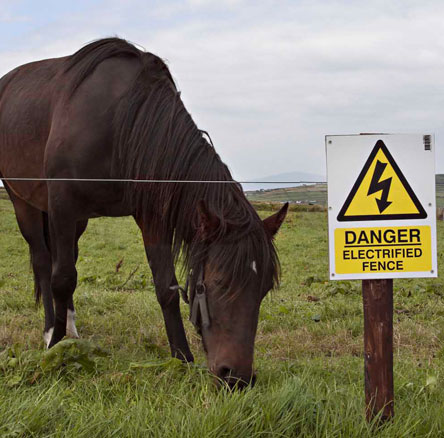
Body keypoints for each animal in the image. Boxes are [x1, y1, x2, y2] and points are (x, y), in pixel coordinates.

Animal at [0, 36, 288, 386]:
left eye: (264, 289)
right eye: (217, 284)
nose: (237, 378)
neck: (119, 123)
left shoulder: (152, 217)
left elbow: (166, 287)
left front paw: (182, 357)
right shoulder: (61, 206)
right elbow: (61, 279)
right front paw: (55, 348)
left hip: (77, 222)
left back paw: (69, 326)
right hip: (24, 203)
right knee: (44, 264)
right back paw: (51, 331)